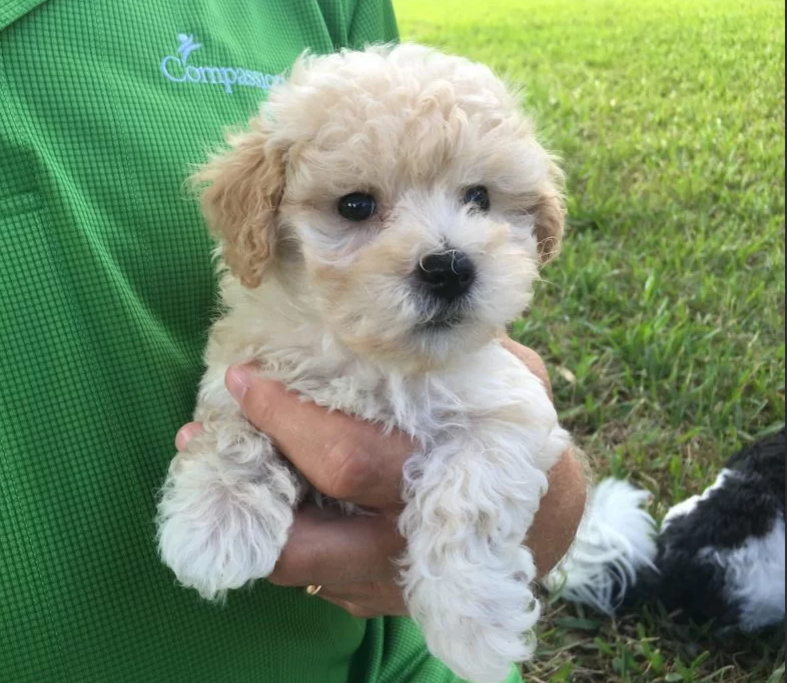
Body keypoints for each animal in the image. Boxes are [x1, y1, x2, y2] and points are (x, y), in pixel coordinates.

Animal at [155, 45, 572, 683]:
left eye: (479, 197)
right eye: (355, 205)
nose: (450, 267)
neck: (373, 356)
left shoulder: (507, 405)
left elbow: (467, 497)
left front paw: (473, 619)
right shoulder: (243, 366)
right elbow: (231, 433)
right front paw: (216, 522)